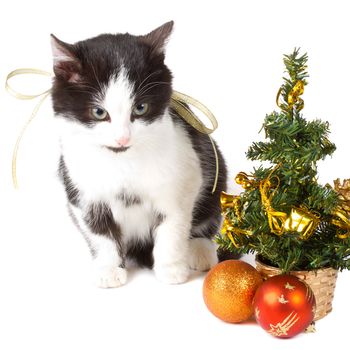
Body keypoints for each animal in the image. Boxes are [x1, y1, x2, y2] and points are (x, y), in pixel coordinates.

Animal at [51, 20, 227, 288]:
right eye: (99, 112)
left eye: (140, 108)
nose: (122, 138)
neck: (122, 161)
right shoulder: (82, 191)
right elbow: (99, 232)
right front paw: (109, 269)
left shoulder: (183, 178)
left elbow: (173, 225)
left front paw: (171, 269)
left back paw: (199, 250)